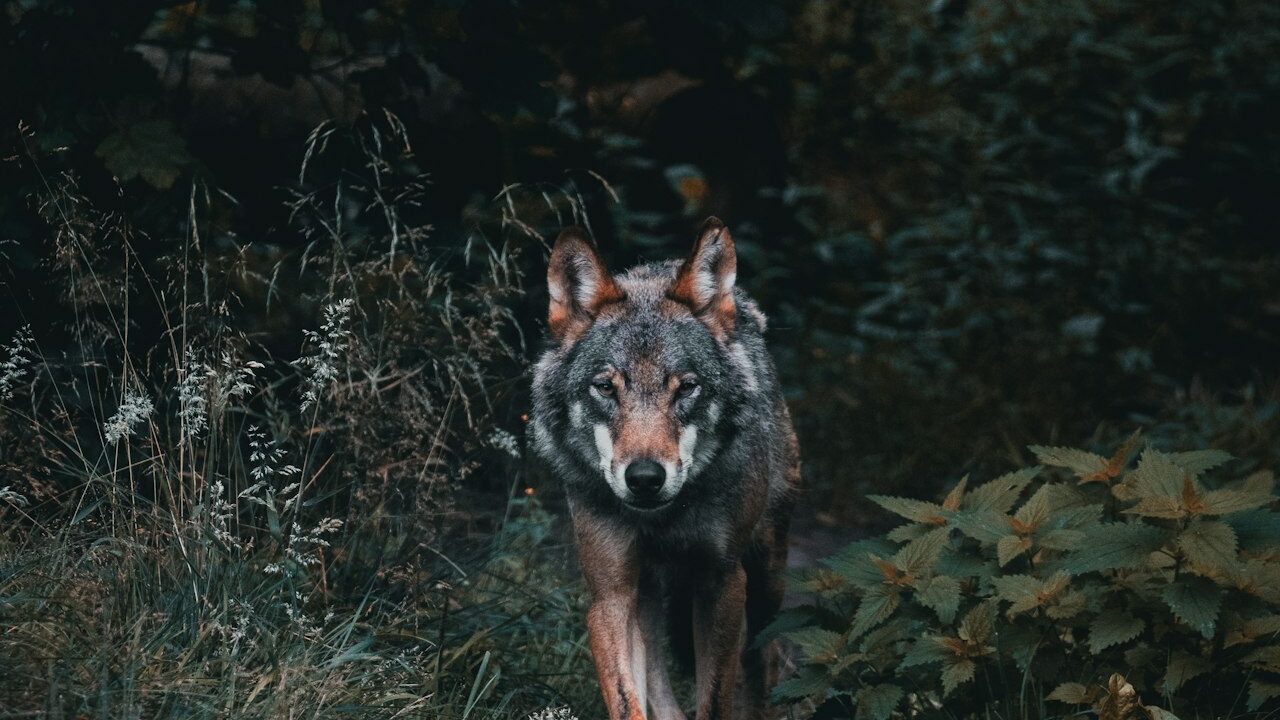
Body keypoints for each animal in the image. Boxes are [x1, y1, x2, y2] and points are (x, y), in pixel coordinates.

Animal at [530, 218, 799, 720]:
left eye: (686, 388)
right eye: (606, 388)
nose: (644, 479)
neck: (664, 519)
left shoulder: (722, 582)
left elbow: (714, 701)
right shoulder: (611, 595)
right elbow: (627, 699)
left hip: (767, 575)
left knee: (766, 654)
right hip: (648, 596)